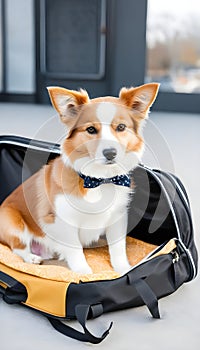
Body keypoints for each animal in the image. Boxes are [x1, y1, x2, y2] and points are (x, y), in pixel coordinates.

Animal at [0, 83, 159, 274]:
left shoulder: (117, 218)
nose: (110, 153)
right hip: (14, 223)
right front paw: (83, 271)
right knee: (17, 248)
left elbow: (118, 248)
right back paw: (32, 258)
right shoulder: (61, 221)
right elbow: (75, 249)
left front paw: (123, 269)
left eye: (121, 127)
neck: (100, 179)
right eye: (91, 129)